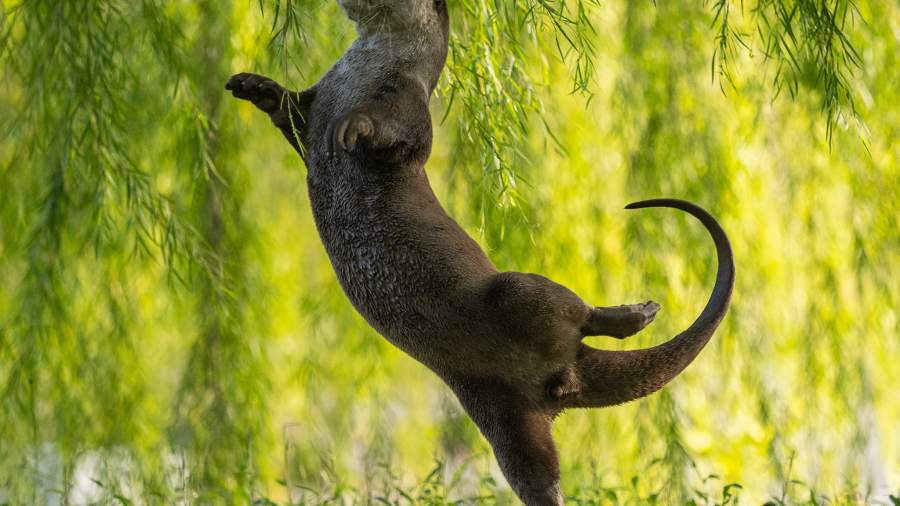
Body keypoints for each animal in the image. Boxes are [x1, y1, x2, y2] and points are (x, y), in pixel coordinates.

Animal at [223, 0, 732, 502]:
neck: (364, 72)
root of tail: (567, 374)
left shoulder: (408, 107)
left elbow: (389, 135)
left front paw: (351, 127)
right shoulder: (317, 100)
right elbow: (289, 113)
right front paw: (252, 86)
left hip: (518, 293)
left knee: (576, 311)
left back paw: (638, 313)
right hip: (499, 413)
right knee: (536, 472)